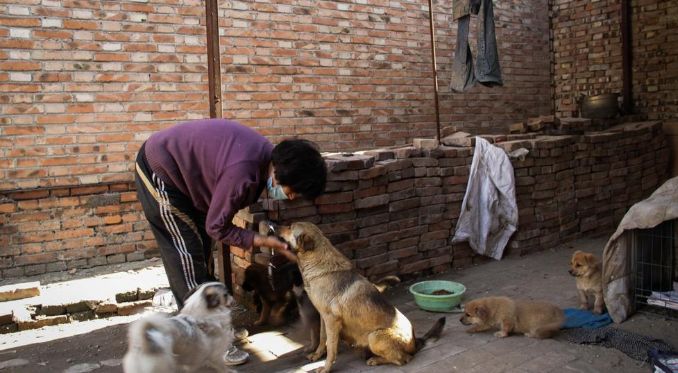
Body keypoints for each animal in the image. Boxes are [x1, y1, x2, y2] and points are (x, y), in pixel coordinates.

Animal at [278, 222, 446, 370]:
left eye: (290, 227)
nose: (274, 225)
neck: (318, 265)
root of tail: (415, 341)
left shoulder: (332, 319)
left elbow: (331, 348)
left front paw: (325, 368)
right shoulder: (324, 317)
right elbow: (322, 338)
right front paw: (317, 355)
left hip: (374, 337)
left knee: (403, 359)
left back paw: (375, 360)